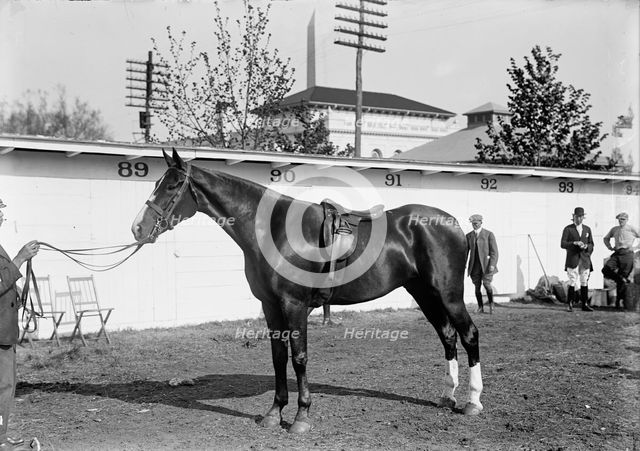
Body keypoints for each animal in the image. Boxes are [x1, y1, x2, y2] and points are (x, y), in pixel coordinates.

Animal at [131, 149, 483, 434]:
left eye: (173, 185)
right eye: (156, 182)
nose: (138, 227)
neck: (273, 231)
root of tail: (451, 223)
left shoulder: (294, 305)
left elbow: (298, 358)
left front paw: (301, 417)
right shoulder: (271, 306)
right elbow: (277, 358)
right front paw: (274, 413)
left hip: (448, 294)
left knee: (469, 334)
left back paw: (473, 402)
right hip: (423, 293)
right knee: (447, 336)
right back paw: (447, 397)